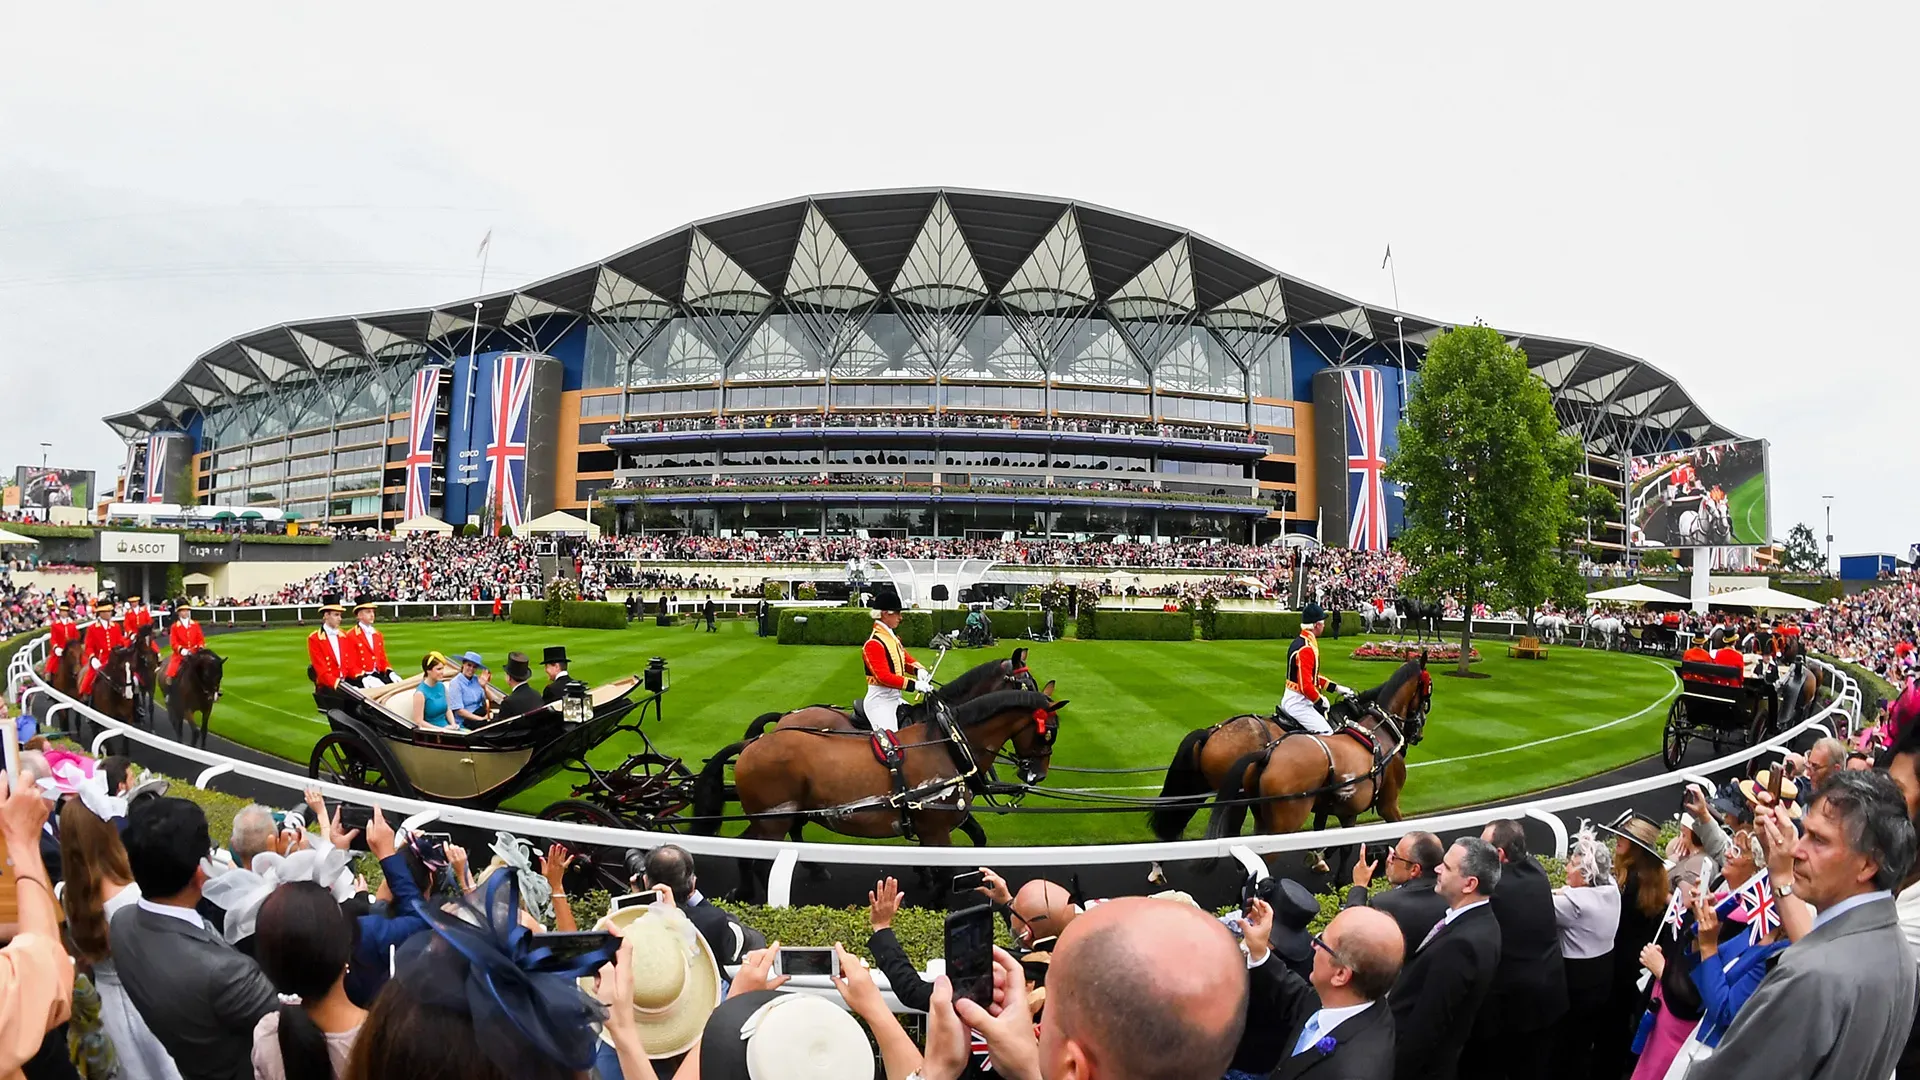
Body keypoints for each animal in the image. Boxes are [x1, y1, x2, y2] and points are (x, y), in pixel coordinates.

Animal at [695, 684, 1067, 845]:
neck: (947, 741)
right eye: (1048, 732)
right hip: (771, 822)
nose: (1037, 773)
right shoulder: (934, 829)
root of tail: (754, 743)